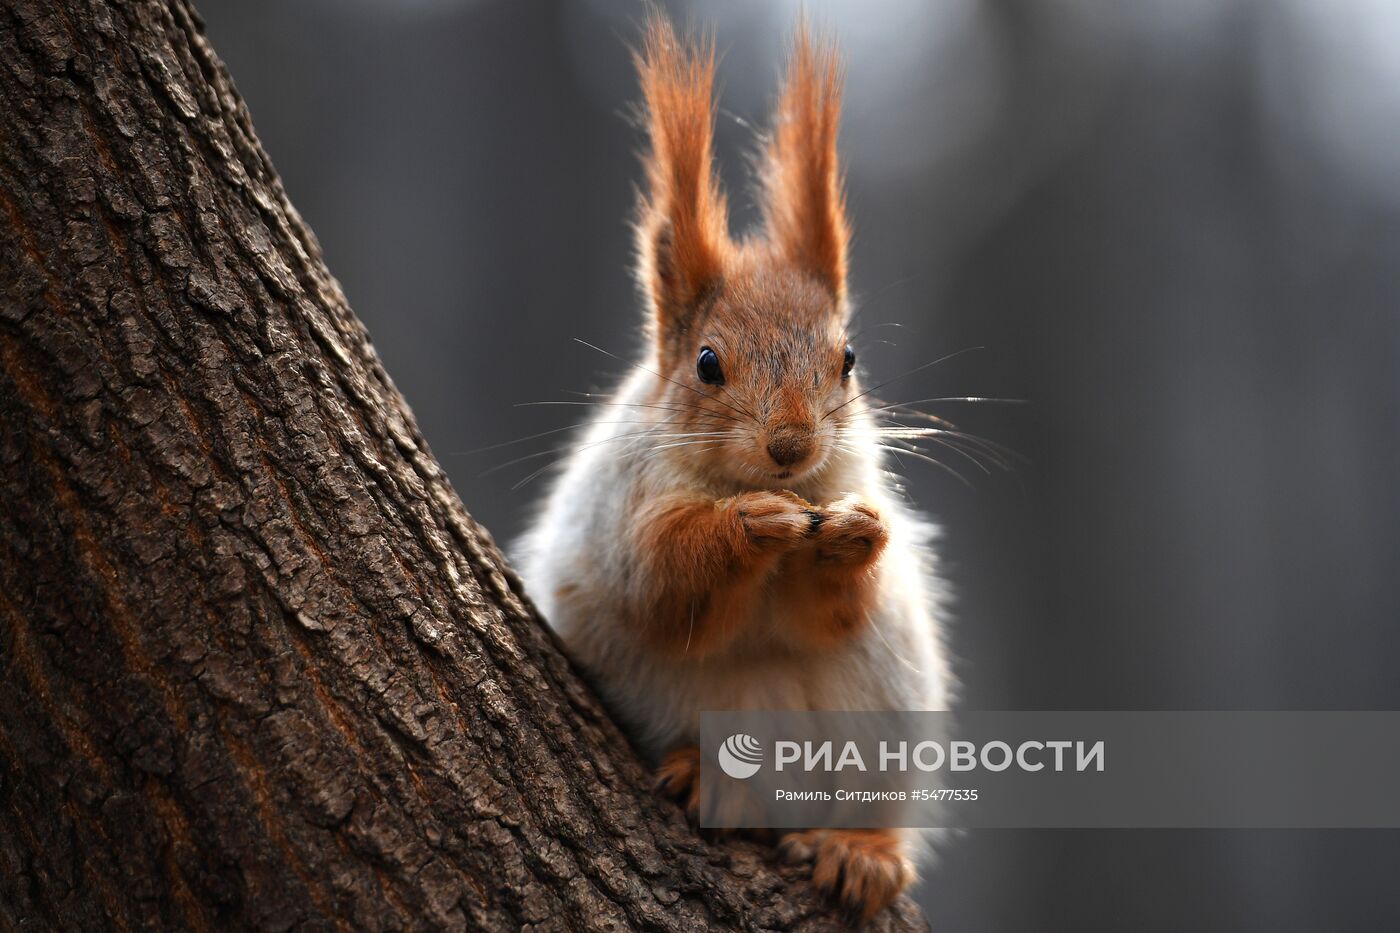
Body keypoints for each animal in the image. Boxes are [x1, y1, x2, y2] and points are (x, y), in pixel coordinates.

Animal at [520, 14, 957, 924]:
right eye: (708, 364)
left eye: (848, 361)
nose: (791, 446)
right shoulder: (621, 515)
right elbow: (665, 585)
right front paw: (750, 525)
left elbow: (831, 610)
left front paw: (855, 533)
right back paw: (702, 776)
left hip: (887, 724)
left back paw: (862, 851)